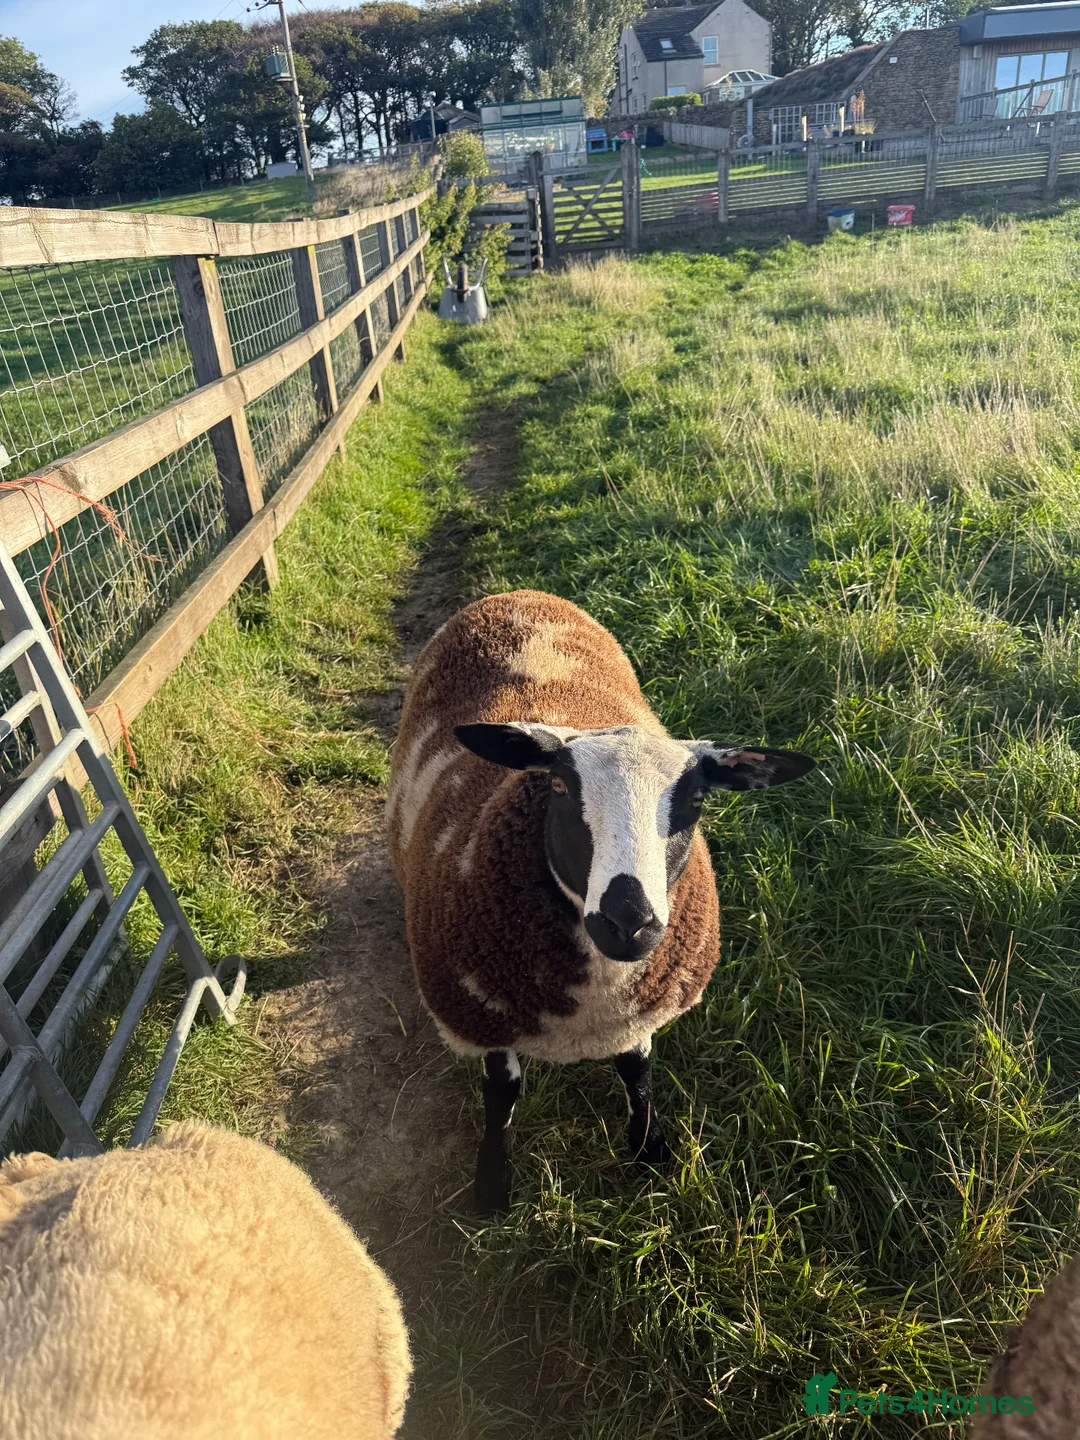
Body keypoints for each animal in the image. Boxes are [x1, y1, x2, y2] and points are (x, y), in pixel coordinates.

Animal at [387, 589, 815, 1213]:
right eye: (560, 787)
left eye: (696, 800)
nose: (628, 921)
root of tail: (516, 594)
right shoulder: (488, 1018)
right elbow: (501, 1094)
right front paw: (492, 1183)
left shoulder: (637, 1012)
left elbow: (638, 1075)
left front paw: (649, 1151)